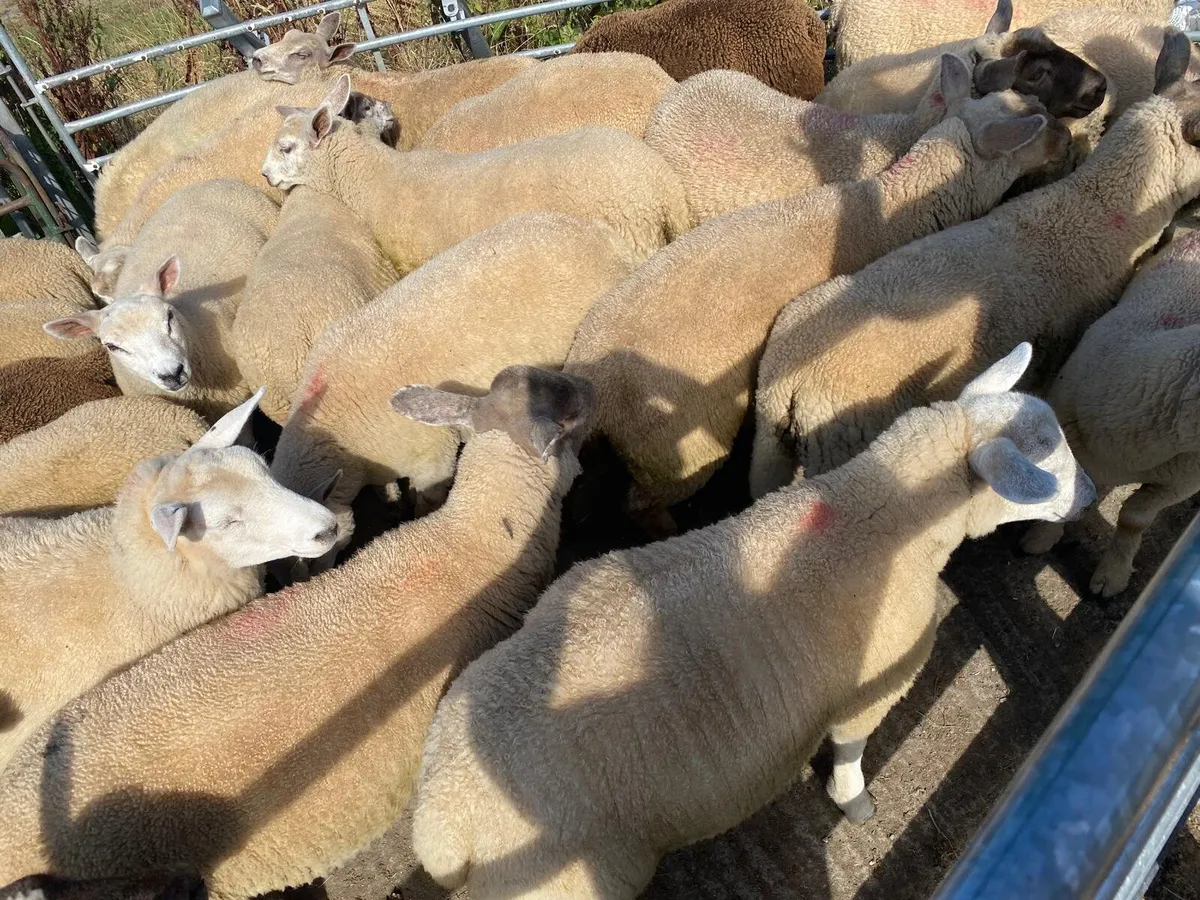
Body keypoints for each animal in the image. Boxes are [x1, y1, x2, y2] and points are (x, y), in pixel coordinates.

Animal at [269, 211, 636, 578]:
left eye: (319, 541)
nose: (309, 579)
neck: (340, 435)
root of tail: (600, 233)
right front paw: (390, 497)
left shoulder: (431, 460)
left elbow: (426, 498)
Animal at [409, 344, 1095, 900]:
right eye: (1043, 465)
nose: (1090, 495)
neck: (884, 513)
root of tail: (442, 821)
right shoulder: (871, 687)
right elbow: (851, 751)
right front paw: (856, 804)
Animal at [567, 58, 1071, 530]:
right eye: (1031, 128)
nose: (1068, 138)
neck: (892, 206)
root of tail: (590, 377)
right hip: (673, 449)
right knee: (642, 503)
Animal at [749, 33, 1200, 500]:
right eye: (1036, 85)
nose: (1067, 138)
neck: (1095, 207)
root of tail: (785, 384)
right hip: (838, 442)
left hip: (769, 449)